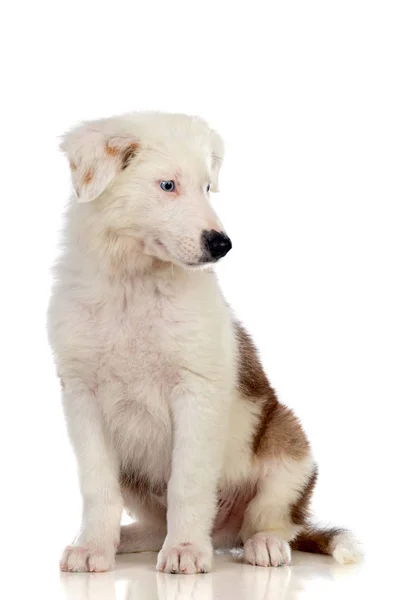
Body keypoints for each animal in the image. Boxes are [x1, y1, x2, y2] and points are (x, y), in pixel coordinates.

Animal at [47, 110, 362, 576]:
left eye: (207, 187)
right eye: (167, 185)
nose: (222, 244)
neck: (133, 284)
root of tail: (224, 533)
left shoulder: (196, 391)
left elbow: (188, 483)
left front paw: (185, 551)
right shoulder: (81, 394)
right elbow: (98, 486)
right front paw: (93, 548)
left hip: (287, 444)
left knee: (274, 519)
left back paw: (263, 546)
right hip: (136, 476)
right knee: (155, 524)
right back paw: (128, 539)